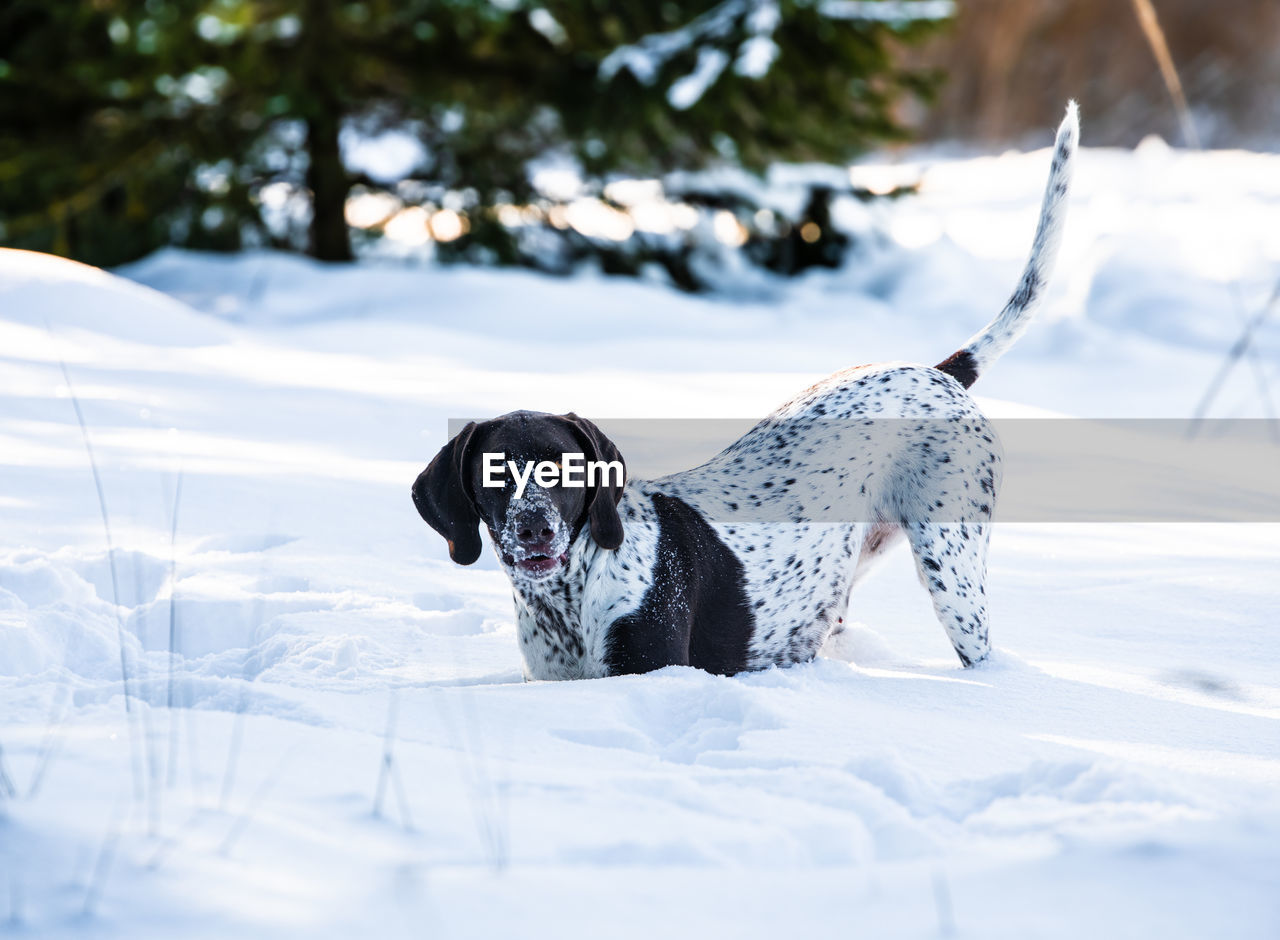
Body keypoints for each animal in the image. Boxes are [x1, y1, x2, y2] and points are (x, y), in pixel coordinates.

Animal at [414, 105, 1075, 686]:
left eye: (567, 469)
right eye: (497, 471)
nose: (535, 529)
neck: (570, 598)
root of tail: (941, 371)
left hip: (952, 570)